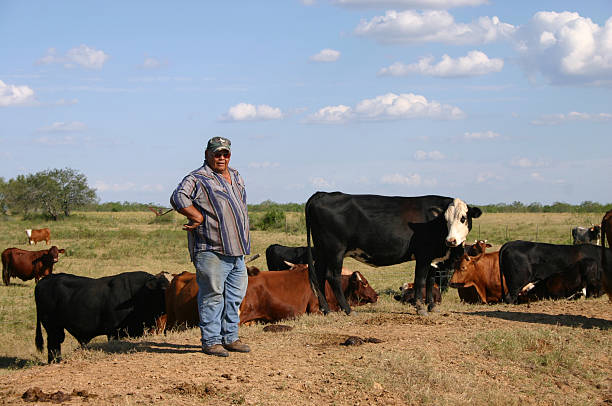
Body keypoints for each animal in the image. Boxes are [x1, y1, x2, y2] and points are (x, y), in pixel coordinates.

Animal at [306, 192, 482, 316]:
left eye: (463, 218)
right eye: (445, 220)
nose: (451, 240)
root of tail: (324, 194)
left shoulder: (433, 258)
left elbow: (431, 281)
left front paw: (432, 307)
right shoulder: (423, 256)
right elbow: (420, 280)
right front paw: (420, 308)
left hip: (322, 250)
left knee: (319, 276)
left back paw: (326, 310)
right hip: (336, 250)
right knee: (332, 276)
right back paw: (348, 310)